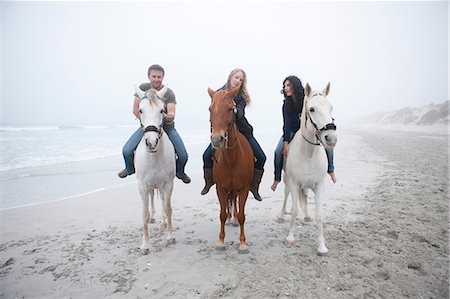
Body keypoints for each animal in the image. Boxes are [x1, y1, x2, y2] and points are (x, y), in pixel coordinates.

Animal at [207, 86, 253, 253]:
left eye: (230, 109)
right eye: (210, 109)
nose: (217, 139)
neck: (232, 159)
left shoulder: (244, 189)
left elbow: (241, 215)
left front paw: (243, 243)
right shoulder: (220, 188)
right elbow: (222, 214)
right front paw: (221, 241)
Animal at [284, 83, 336, 256]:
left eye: (331, 108)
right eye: (312, 109)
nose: (331, 138)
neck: (308, 153)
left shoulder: (319, 186)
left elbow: (319, 215)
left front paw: (322, 246)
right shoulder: (294, 184)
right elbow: (294, 210)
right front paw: (290, 237)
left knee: (305, 198)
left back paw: (307, 217)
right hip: (286, 182)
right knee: (286, 196)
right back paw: (281, 215)